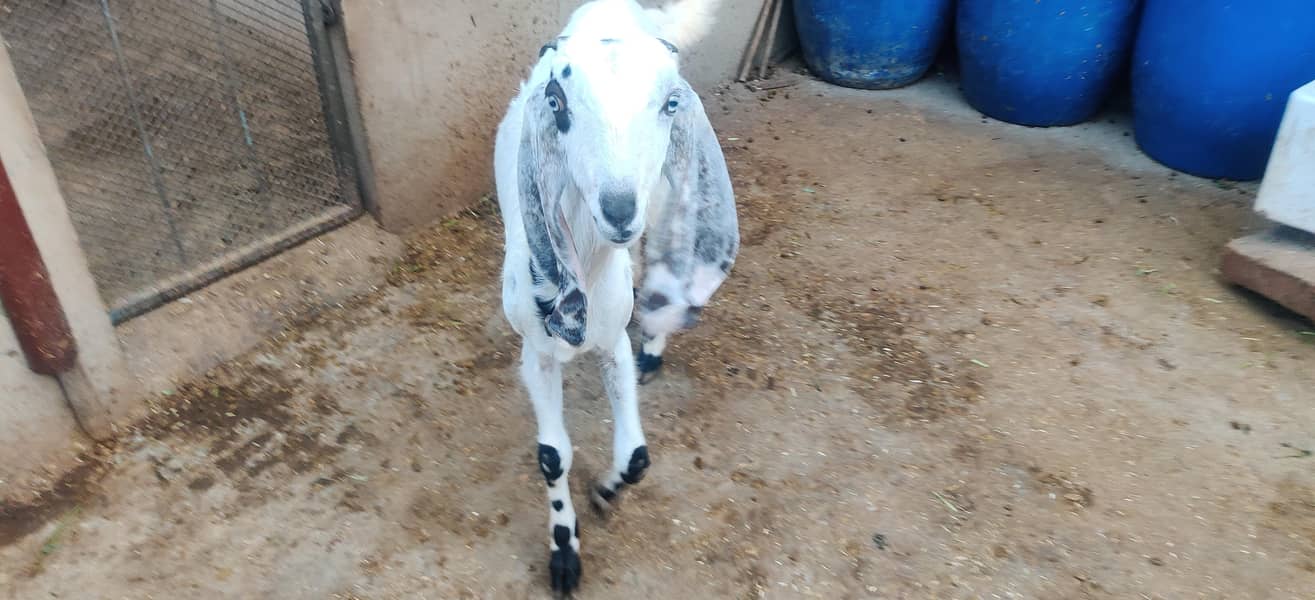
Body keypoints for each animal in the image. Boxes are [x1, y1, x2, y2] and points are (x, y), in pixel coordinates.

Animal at [492, 0, 737, 593]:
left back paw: (654, 350)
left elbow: (639, 456)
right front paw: (564, 553)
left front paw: (605, 491)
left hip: (668, 201)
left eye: (671, 101)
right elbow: (552, 456)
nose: (619, 207)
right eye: (556, 102)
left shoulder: (611, 343)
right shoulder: (536, 352)